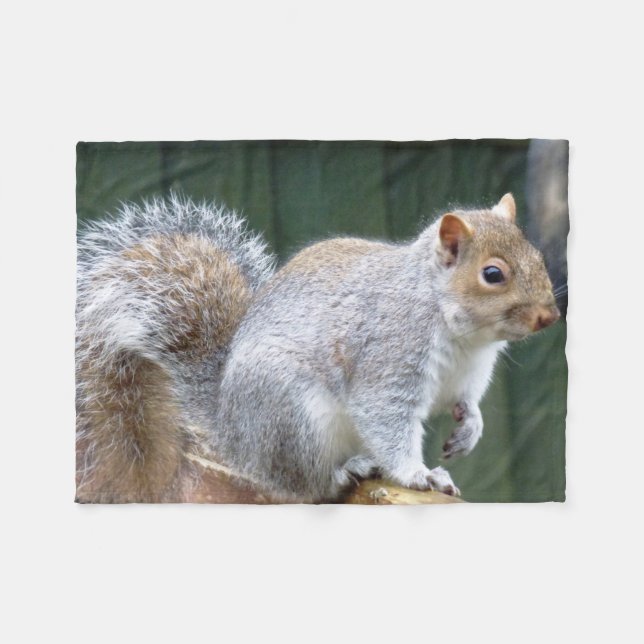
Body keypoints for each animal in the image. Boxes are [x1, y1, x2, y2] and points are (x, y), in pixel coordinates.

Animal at [76, 192, 560, 503]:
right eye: (493, 274)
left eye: (537, 255)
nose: (549, 316)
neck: (464, 336)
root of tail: (232, 432)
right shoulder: (388, 359)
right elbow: (386, 420)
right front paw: (420, 475)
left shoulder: (467, 374)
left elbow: (467, 402)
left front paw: (468, 430)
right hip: (293, 416)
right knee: (300, 485)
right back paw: (344, 473)